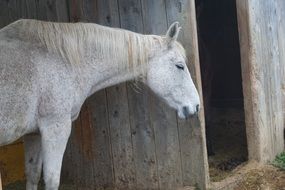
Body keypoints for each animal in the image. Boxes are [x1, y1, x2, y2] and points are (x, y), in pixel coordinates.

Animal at [0, 20, 200, 189]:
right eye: (180, 66)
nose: (196, 106)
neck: (61, 59)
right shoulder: (55, 127)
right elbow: (51, 179)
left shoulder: (33, 134)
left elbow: (33, 175)